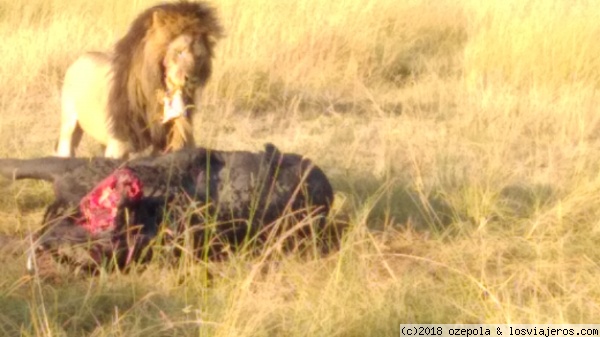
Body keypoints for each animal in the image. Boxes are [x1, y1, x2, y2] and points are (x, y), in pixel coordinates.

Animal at [54, 0, 221, 158]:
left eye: (199, 56)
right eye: (179, 51)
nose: (192, 79)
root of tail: (81, 58)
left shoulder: (167, 141)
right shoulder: (119, 143)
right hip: (69, 125)